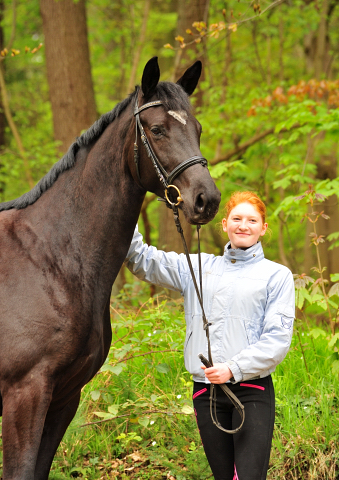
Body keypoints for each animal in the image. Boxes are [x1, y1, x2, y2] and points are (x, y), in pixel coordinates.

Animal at [0, 57, 222, 480]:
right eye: (157, 129)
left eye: (198, 129)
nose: (207, 199)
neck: (52, 257)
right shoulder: (24, 394)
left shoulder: (64, 396)